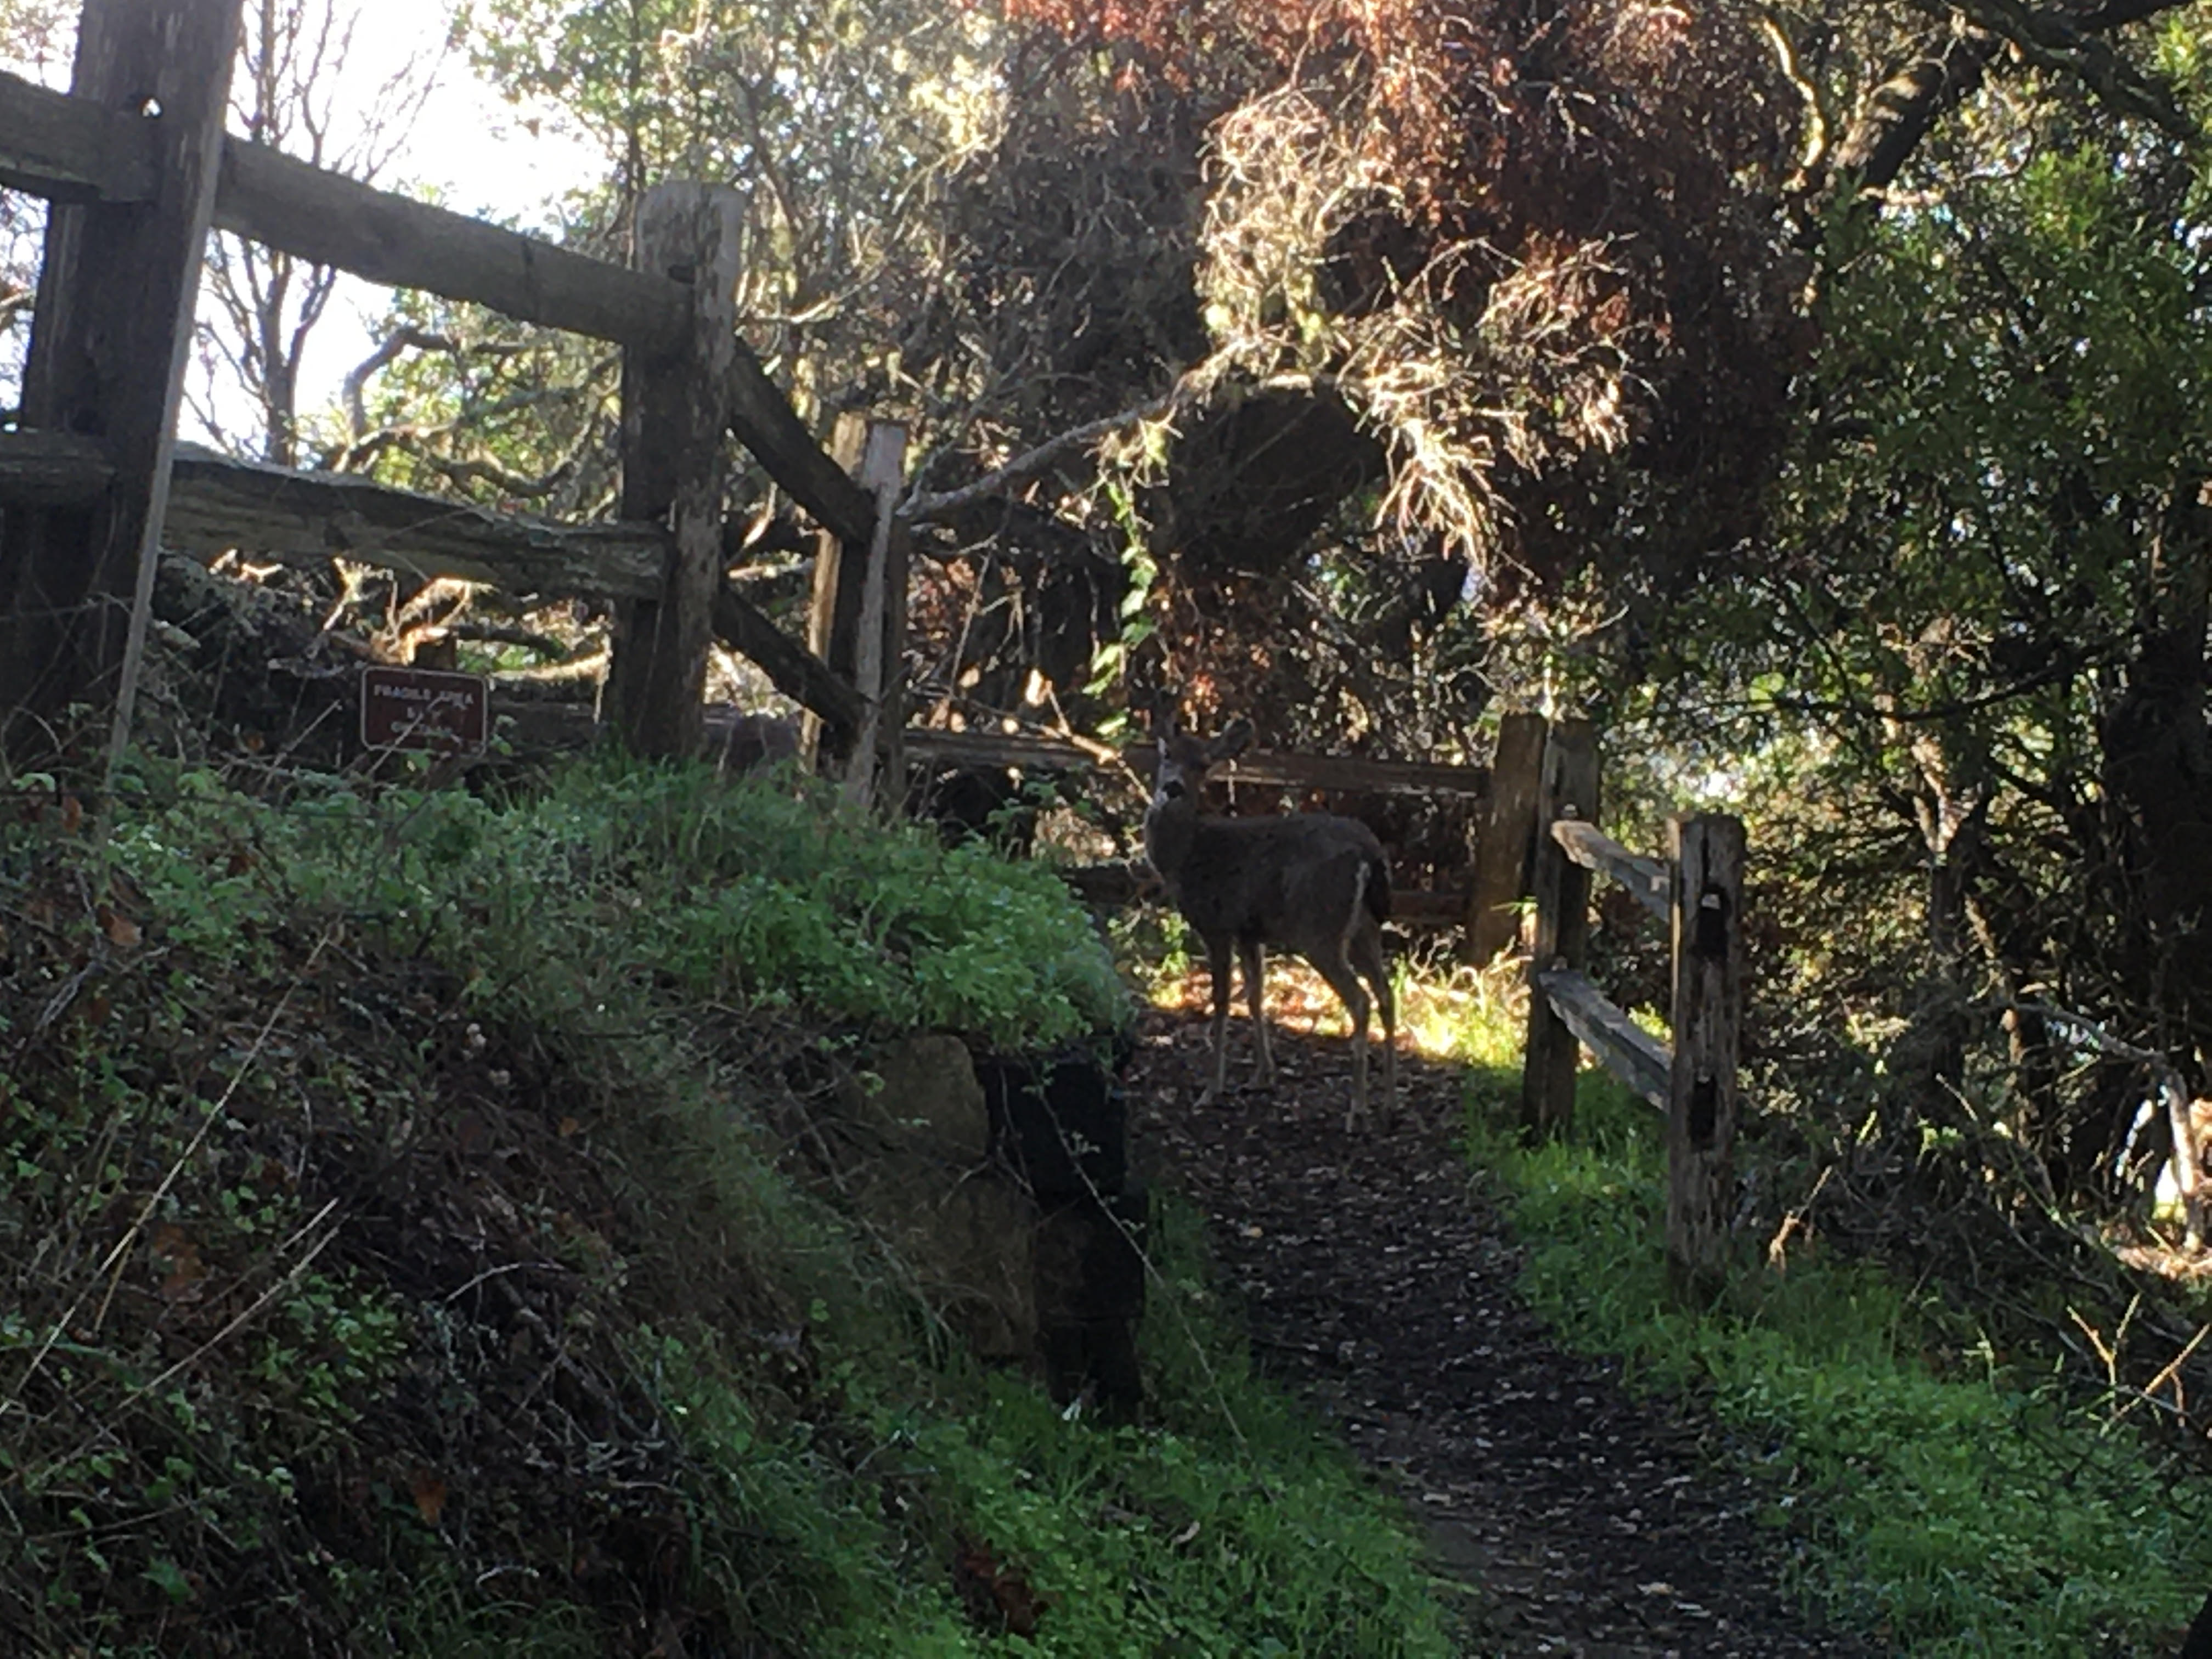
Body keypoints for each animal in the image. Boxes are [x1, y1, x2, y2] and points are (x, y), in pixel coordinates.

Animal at [1150, 708, 1389, 1141]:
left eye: (1202, 764)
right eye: (1167, 754)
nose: (1172, 788)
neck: (1188, 854)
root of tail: (1370, 854)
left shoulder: (1217, 924)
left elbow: (1223, 1001)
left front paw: (1211, 1089)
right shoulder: (1251, 932)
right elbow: (1256, 996)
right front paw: (1264, 1075)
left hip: (1321, 930)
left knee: (1361, 1000)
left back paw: (1357, 1112)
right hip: (1365, 929)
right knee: (1386, 995)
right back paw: (1391, 1104)